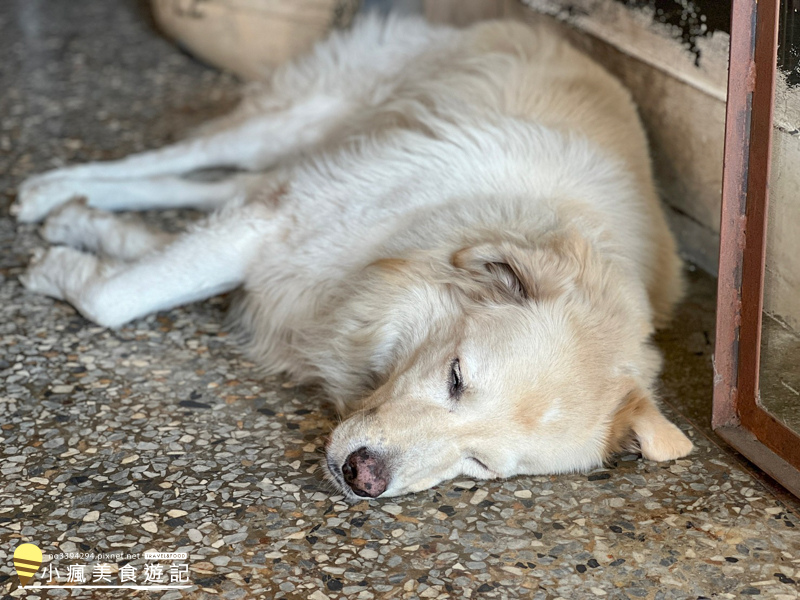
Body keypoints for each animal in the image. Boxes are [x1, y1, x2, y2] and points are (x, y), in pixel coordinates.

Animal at [17, 14, 692, 500]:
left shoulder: (283, 233)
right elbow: (117, 298)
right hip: (300, 123)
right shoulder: (285, 222)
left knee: (212, 186)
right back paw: (48, 190)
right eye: (456, 377)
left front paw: (90, 243)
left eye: (480, 463)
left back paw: (77, 214)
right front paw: (60, 269)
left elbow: (169, 267)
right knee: (180, 158)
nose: (363, 478)